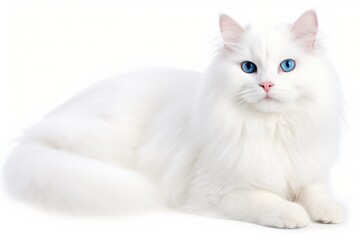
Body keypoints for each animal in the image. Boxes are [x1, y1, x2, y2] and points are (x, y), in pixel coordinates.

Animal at [2, 10, 346, 228]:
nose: (267, 86)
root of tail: (31, 135)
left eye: (287, 66)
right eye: (249, 68)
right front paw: (293, 214)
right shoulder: (216, 193)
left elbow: (317, 190)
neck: (272, 129)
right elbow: (265, 200)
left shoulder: (309, 168)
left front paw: (332, 211)